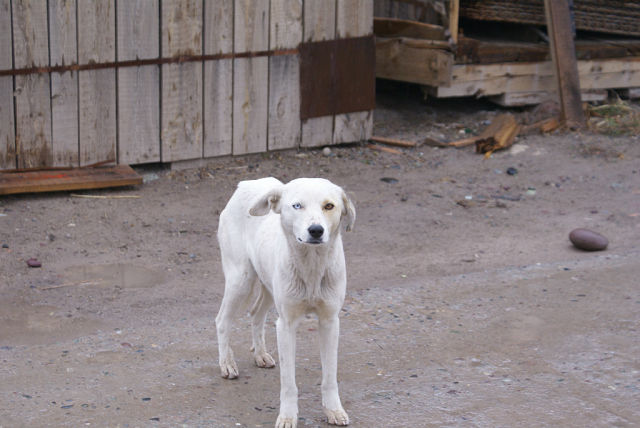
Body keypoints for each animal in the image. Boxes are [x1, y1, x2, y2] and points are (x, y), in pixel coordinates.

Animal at [215, 177, 356, 428]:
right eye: (297, 205)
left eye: (329, 206)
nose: (316, 230)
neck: (311, 266)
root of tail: (247, 182)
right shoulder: (286, 325)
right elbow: (289, 382)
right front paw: (288, 416)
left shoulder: (330, 322)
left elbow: (330, 376)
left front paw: (333, 410)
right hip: (240, 279)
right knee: (222, 320)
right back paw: (227, 364)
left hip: (267, 285)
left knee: (256, 313)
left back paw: (260, 354)